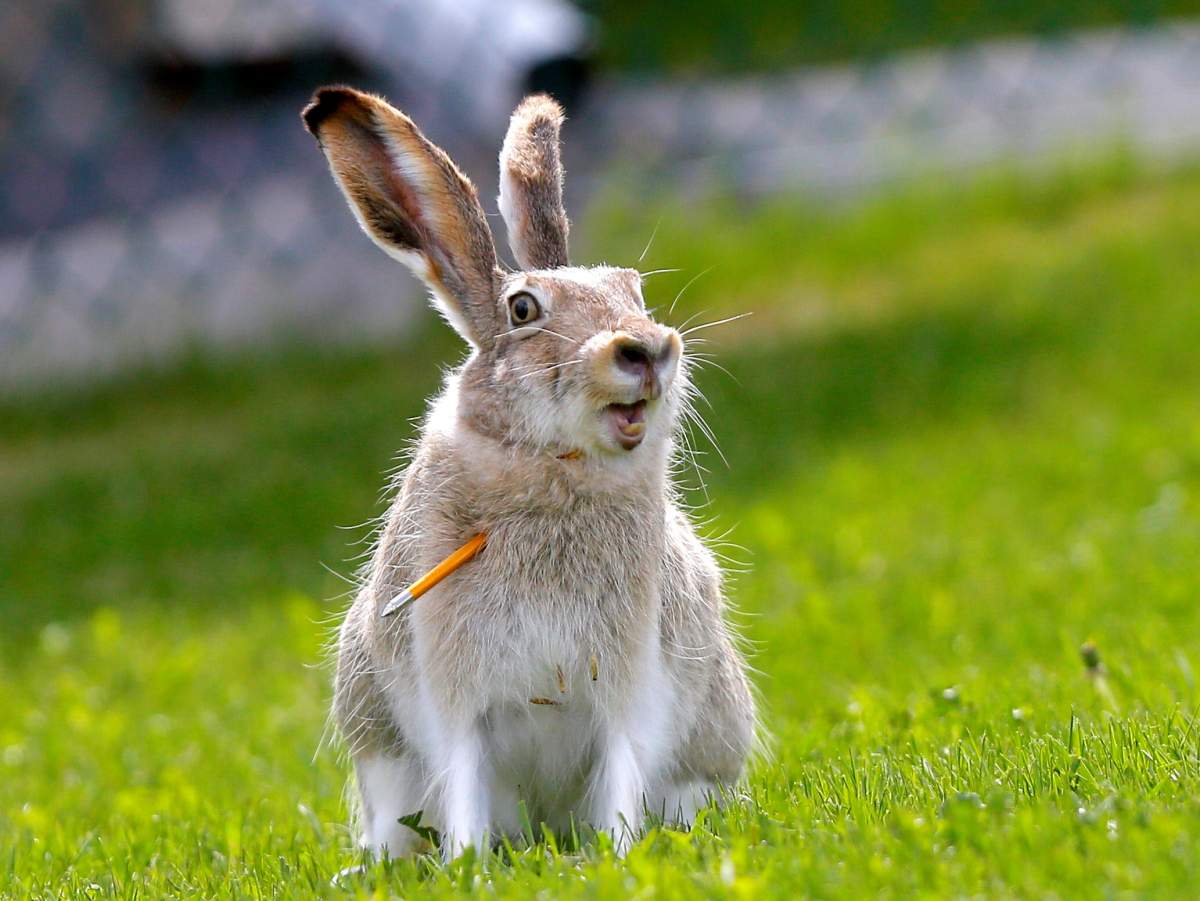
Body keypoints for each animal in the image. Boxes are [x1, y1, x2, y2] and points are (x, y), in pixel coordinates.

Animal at [302, 86, 757, 860]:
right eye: (522, 309)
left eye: (634, 290)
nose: (648, 349)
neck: (552, 474)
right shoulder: (454, 693)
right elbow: (461, 778)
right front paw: (469, 864)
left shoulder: (628, 680)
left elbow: (621, 769)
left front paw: (617, 855)